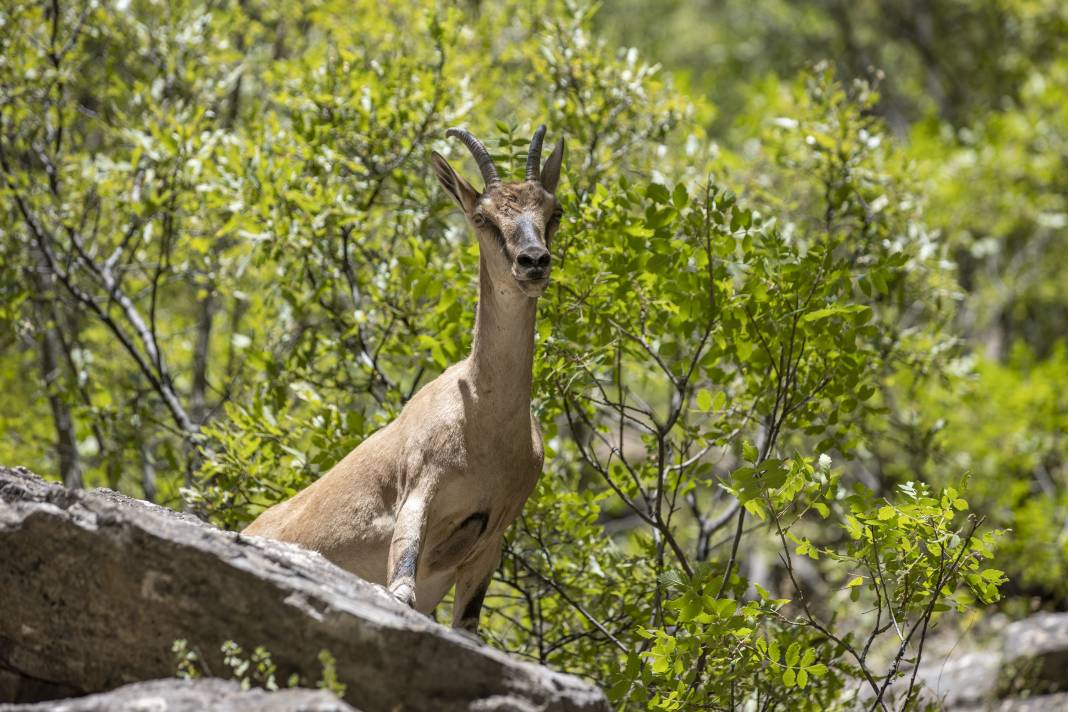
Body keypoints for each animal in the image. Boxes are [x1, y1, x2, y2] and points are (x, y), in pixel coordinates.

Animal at [244, 123, 568, 636]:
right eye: (482, 216)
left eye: (554, 211)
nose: (533, 262)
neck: (484, 421)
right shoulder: (419, 489)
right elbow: (401, 591)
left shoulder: (490, 538)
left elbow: (465, 625)